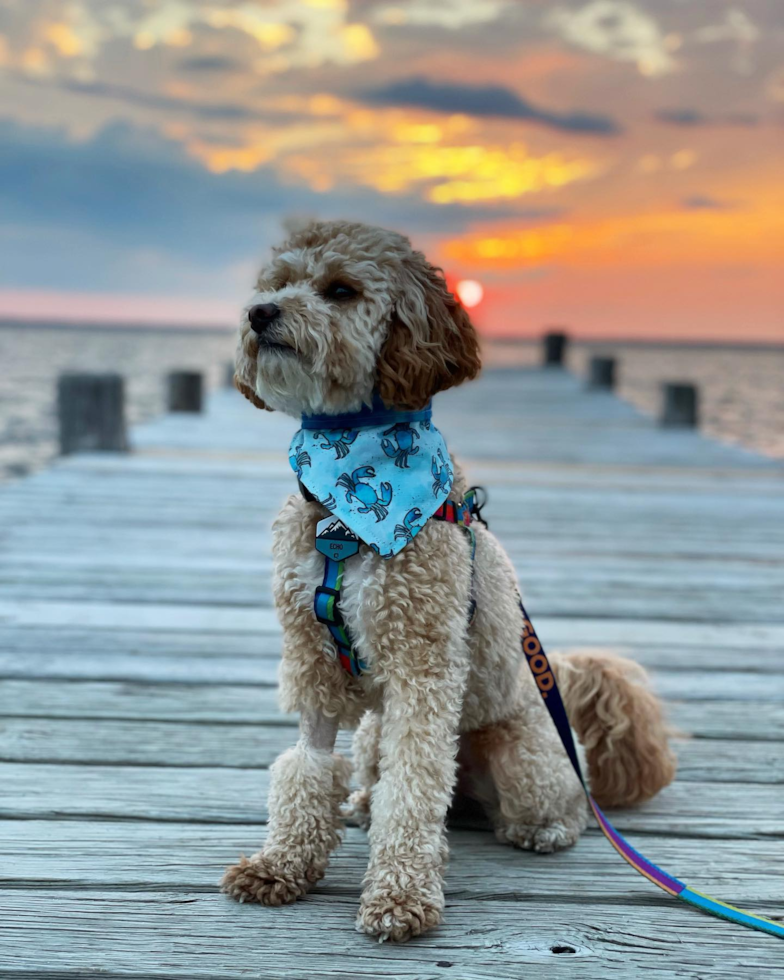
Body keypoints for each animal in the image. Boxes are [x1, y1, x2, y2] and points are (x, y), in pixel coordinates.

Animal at [220, 220, 672, 940]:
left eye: (340, 290)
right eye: (277, 284)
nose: (259, 314)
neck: (344, 506)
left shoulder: (423, 667)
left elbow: (414, 786)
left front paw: (399, 897)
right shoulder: (312, 657)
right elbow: (306, 765)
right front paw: (280, 865)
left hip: (521, 757)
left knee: (564, 802)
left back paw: (544, 828)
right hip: (372, 734)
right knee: (378, 776)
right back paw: (360, 803)